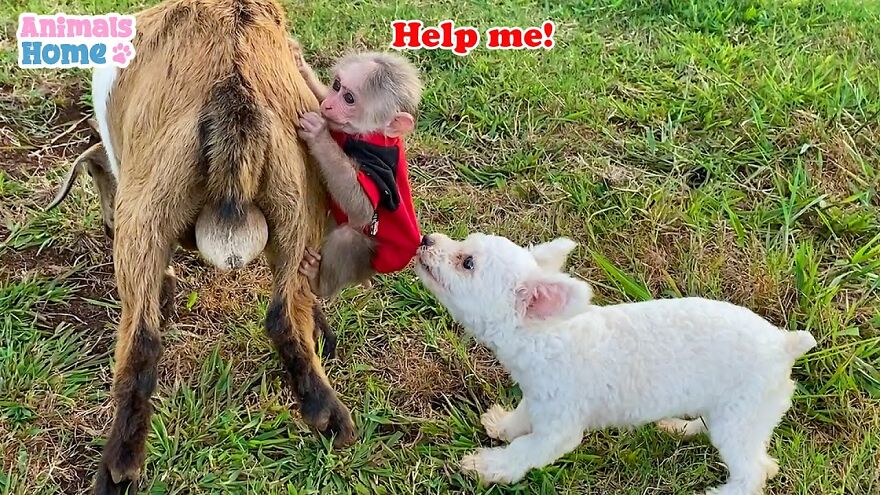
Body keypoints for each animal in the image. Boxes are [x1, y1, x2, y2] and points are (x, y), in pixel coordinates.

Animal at [289, 40, 425, 300]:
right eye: (336, 85)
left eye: (349, 98)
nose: (329, 105)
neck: (367, 135)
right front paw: (301, 65)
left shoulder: (378, 161)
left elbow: (362, 209)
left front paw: (319, 135)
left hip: (369, 261)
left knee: (349, 238)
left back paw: (318, 283)